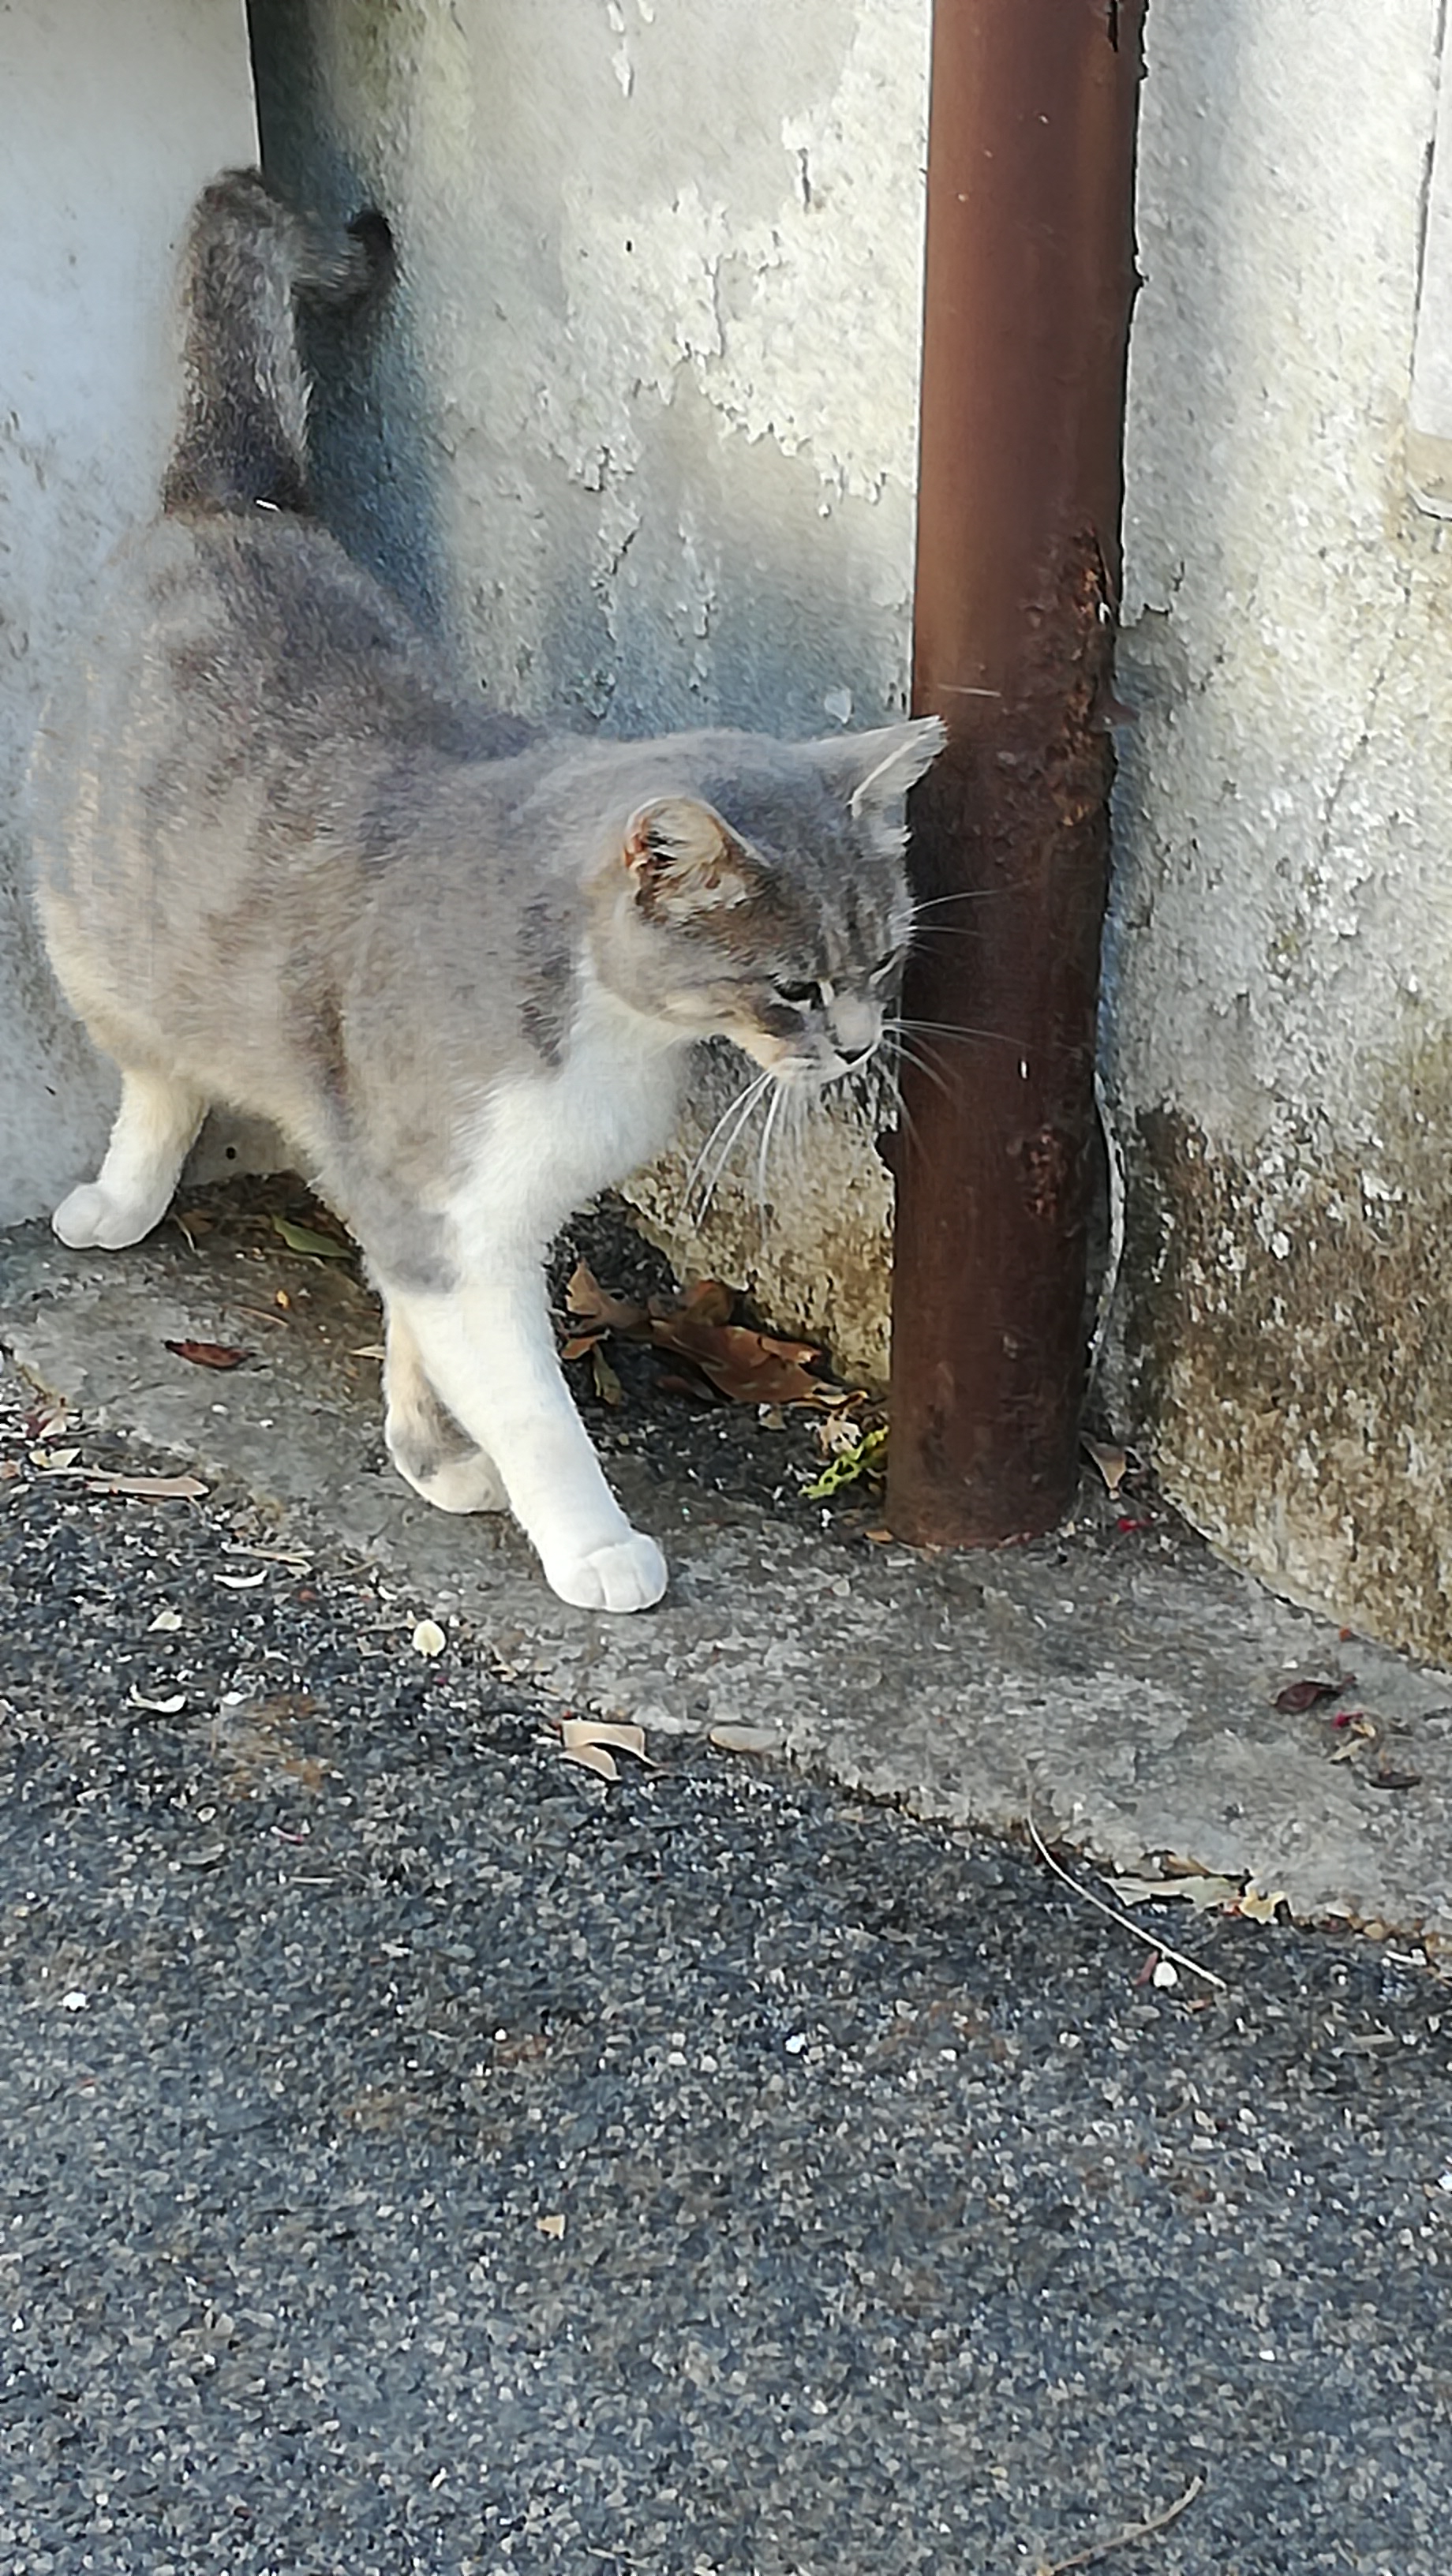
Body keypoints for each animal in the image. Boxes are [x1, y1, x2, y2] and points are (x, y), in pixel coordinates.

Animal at [30, 170, 942, 1612]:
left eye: (882, 960)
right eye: (794, 985)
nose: (858, 1046)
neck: (618, 1036)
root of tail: (233, 501)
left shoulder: (451, 1207)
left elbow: (417, 1329)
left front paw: (435, 1454)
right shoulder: (449, 1209)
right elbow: (530, 1401)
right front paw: (587, 1538)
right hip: (101, 935)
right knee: (159, 1078)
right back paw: (117, 1204)